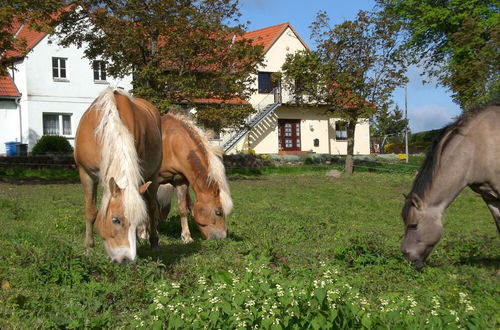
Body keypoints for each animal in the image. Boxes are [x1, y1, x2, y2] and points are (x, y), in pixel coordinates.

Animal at [74, 88, 162, 262]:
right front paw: (88, 247)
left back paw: (154, 242)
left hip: (153, 176)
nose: (126, 258)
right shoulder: (85, 173)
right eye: (116, 220)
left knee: (152, 206)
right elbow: (91, 211)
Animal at [157, 112, 233, 241]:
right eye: (218, 212)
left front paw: (186, 237)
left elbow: (183, 208)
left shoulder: (180, 181)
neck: (170, 143)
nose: (223, 237)